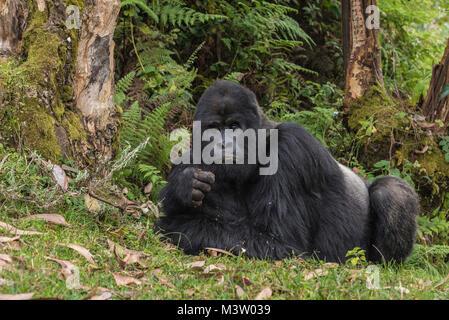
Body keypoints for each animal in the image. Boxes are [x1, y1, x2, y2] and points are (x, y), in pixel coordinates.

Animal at [155, 81, 420, 264]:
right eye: (213, 128)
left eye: (234, 126)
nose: (223, 145)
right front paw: (183, 186)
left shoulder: (293, 148)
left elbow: (280, 242)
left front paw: (177, 226)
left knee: (390, 191)